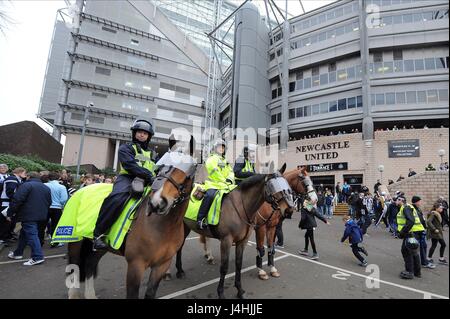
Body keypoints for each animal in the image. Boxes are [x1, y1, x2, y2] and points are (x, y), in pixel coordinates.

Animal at [65, 152, 197, 300]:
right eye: (160, 168)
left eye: (186, 174)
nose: (157, 202)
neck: (163, 227)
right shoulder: (136, 265)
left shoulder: (162, 265)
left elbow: (150, 293)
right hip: (75, 240)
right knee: (74, 265)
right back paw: (74, 294)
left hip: (100, 247)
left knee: (89, 264)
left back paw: (90, 295)